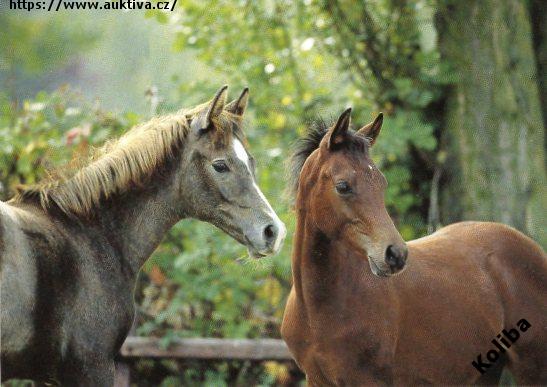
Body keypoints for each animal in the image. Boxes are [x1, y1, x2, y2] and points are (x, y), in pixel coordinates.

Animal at [282, 108, 547, 384]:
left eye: (382, 183)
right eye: (343, 186)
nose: (395, 254)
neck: (318, 309)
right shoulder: (316, 379)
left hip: (533, 368)